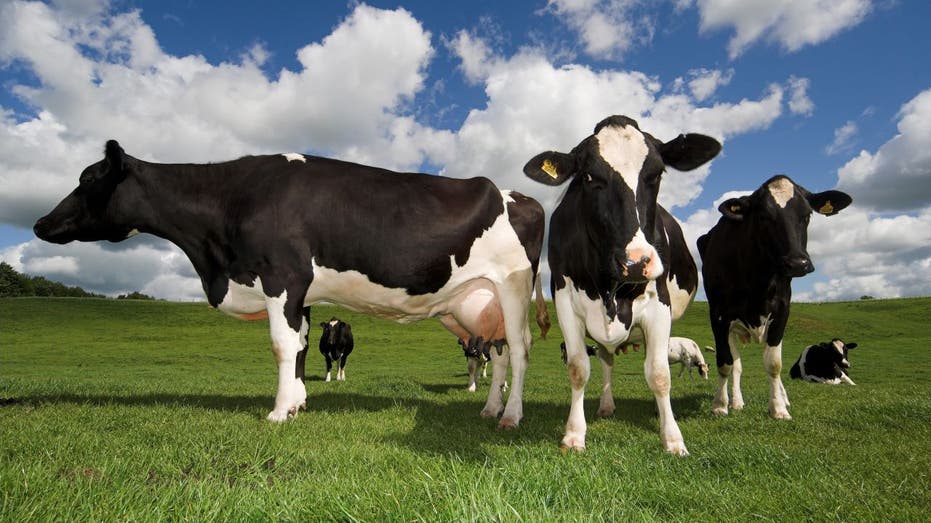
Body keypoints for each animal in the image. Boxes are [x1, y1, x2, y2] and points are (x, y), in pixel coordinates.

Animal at [32, 140, 548, 430]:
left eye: (88, 177)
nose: (39, 222)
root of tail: (522, 196)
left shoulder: (283, 277)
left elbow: (282, 345)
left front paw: (280, 412)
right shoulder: (303, 293)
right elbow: (299, 345)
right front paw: (299, 402)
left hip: (513, 289)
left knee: (520, 350)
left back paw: (512, 417)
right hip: (481, 302)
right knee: (500, 354)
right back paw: (490, 410)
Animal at [700, 176, 852, 422]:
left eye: (807, 215)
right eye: (764, 216)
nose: (798, 263)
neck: (756, 280)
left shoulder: (782, 312)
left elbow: (774, 364)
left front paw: (778, 408)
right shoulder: (719, 316)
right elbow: (726, 363)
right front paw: (720, 405)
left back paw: (783, 398)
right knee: (737, 365)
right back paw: (737, 401)